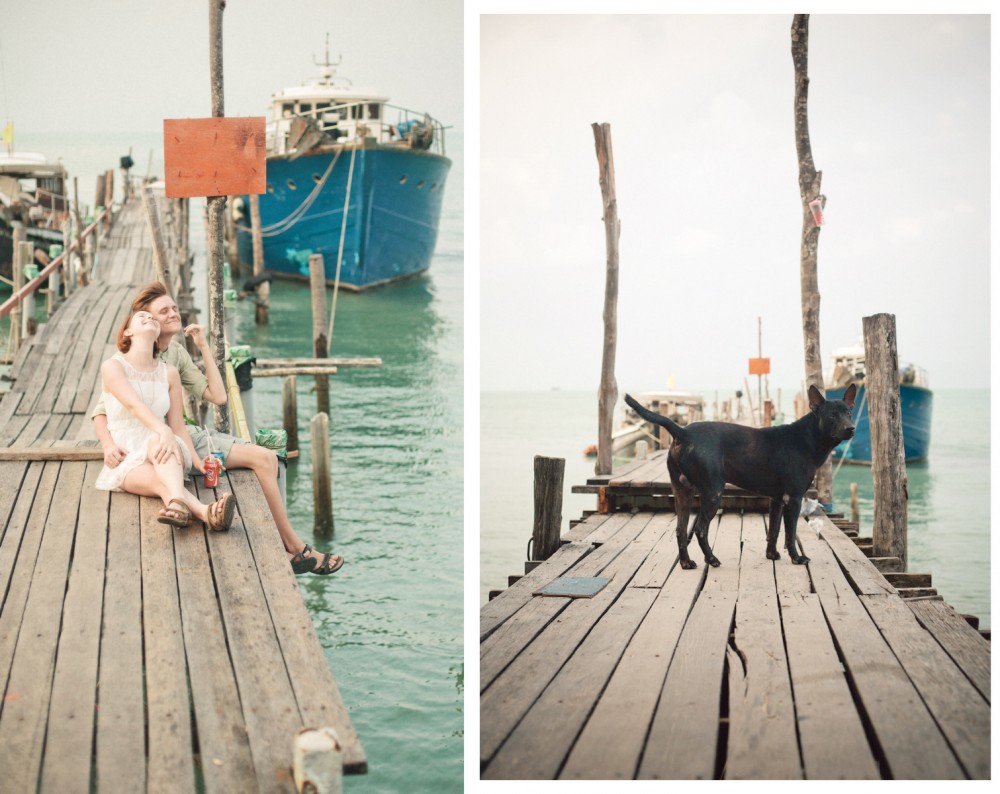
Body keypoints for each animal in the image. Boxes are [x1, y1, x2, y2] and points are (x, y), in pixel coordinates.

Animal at [620, 386, 856, 568]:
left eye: (849, 413)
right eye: (832, 415)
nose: (851, 428)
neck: (807, 439)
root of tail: (683, 432)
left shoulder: (777, 499)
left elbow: (774, 530)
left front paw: (772, 555)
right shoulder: (794, 498)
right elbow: (790, 534)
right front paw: (797, 558)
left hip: (682, 493)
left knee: (680, 530)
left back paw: (686, 563)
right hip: (713, 492)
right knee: (700, 530)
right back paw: (711, 559)